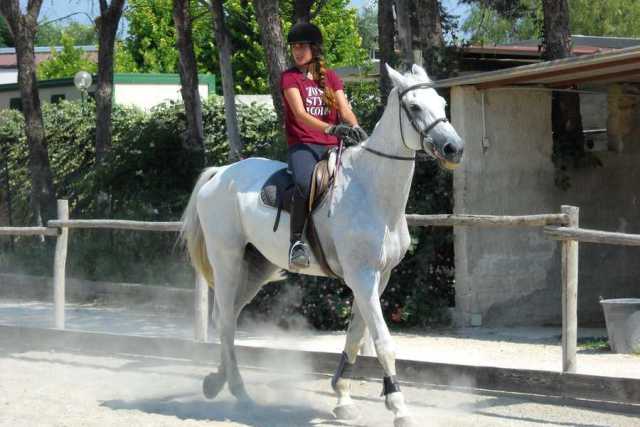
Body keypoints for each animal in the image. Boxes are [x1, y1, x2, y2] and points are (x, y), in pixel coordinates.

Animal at [180, 64, 464, 427]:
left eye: (441, 103)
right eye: (414, 107)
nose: (453, 148)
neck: (372, 190)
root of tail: (220, 175)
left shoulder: (378, 277)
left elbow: (356, 336)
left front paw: (343, 398)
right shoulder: (361, 276)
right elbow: (382, 341)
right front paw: (399, 406)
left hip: (255, 268)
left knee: (226, 317)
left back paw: (218, 381)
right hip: (227, 261)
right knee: (227, 320)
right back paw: (240, 392)